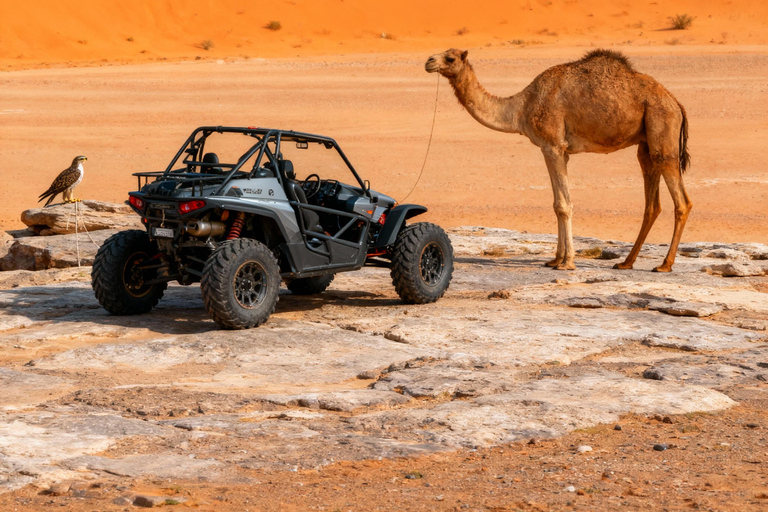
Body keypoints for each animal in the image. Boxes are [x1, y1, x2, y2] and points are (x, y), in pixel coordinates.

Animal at [425, 48, 691, 272]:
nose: (429, 61)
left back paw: (664, 265)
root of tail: (677, 103)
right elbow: (557, 204)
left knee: (682, 202)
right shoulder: (557, 151)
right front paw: (555, 259)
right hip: (646, 144)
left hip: (663, 130)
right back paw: (626, 262)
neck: (522, 107)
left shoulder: (553, 145)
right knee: (652, 204)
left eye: (450, 58)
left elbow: (564, 205)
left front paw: (567, 263)